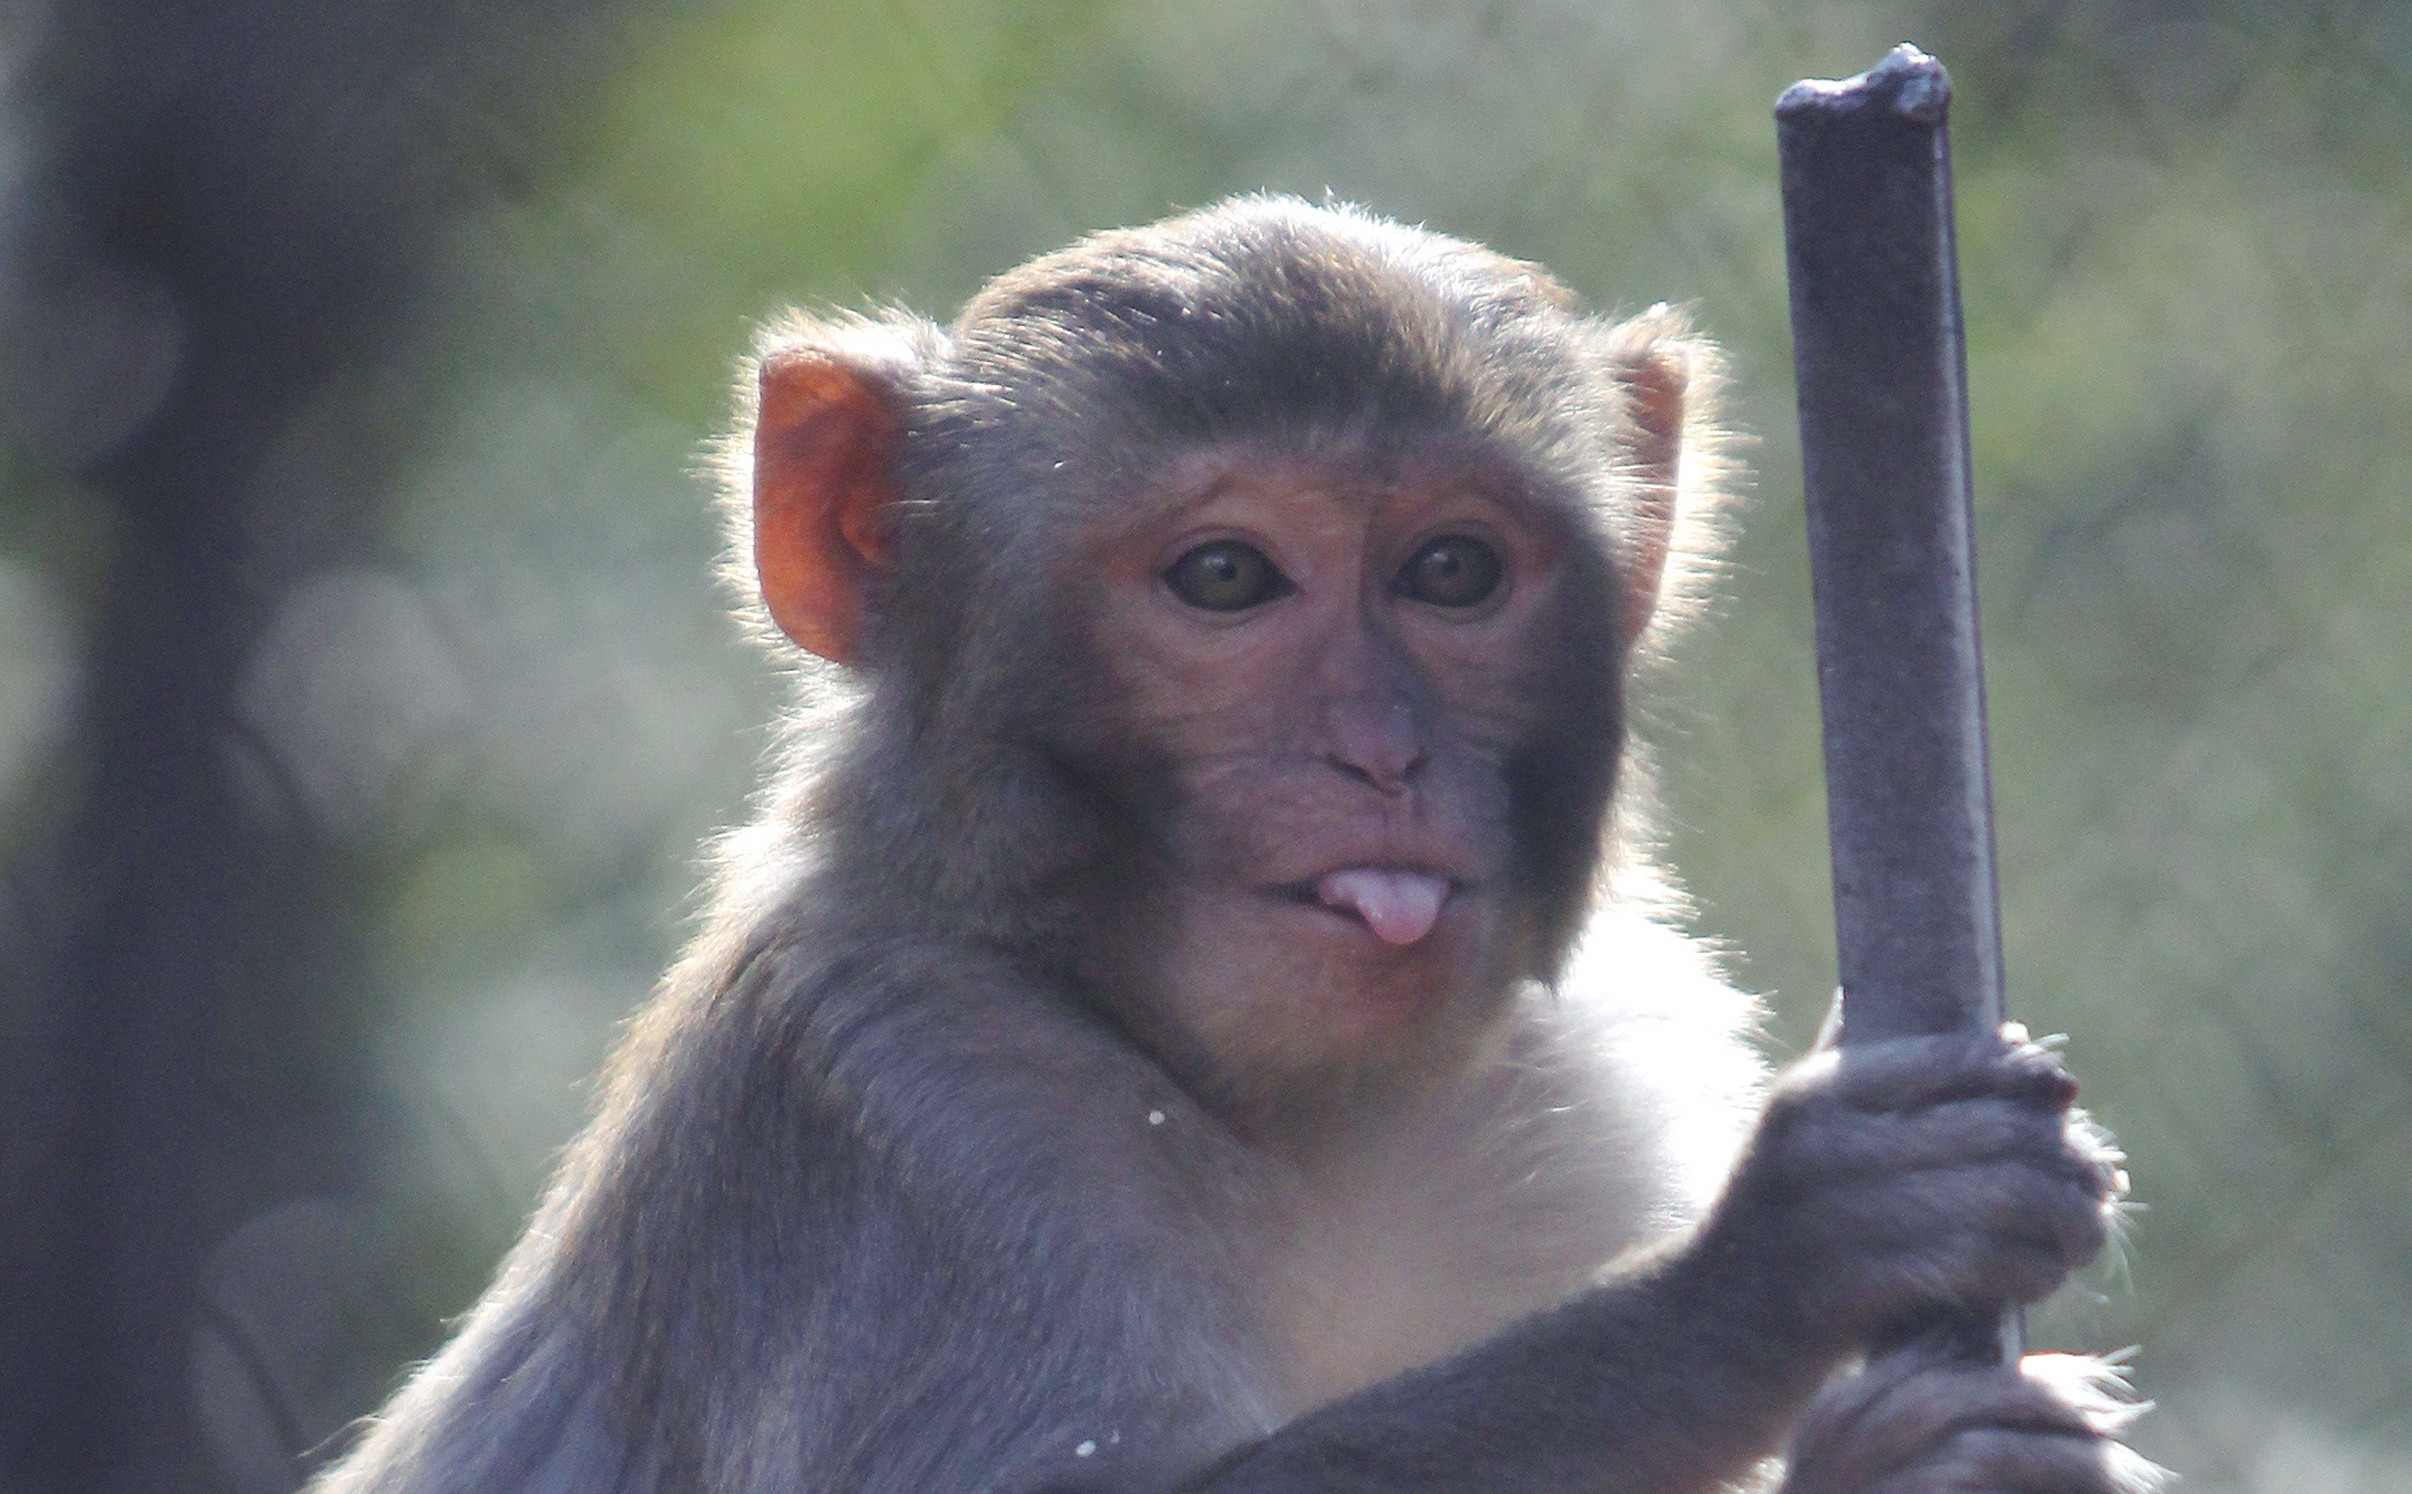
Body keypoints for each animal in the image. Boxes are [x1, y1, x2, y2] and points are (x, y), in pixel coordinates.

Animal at [310, 196, 2156, 1494]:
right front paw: (1767, 1273)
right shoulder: (898, 1109)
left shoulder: (1591, 1080)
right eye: (1224, 579)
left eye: (1451, 573)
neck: (1289, 1120)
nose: (1379, 749)